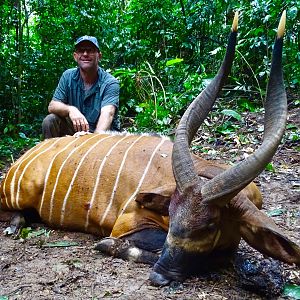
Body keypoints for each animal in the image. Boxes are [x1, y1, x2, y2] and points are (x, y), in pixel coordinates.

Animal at [0, 11, 300, 288]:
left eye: (210, 225)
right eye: (173, 216)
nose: (159, 275)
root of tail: (22, 159)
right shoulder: (128, 224)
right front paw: (108, 246)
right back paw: (15, 225)